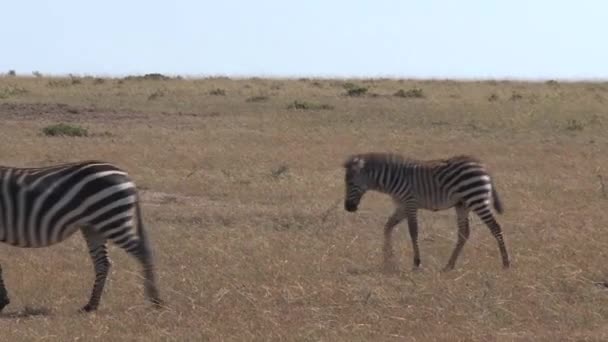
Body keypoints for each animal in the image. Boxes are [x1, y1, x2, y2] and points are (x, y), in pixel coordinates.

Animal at [0, 160, 163, 312]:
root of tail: (126, 175)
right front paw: (3, 301)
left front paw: (3, 301)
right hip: (94, 227)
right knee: (103, 262)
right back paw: (91, 305)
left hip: (112, 220)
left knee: (143, 252)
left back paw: (155, 299)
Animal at [342, 152, 508, 272]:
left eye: (350, 183)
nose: (348, 208)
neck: (394, 179)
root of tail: (482, 166)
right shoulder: (402, 206)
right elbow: (388, 227)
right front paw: (388, 260)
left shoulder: (410, 203)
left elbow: (413, 232)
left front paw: (416, 262)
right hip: (462, 205)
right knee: (464, 233)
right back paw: (449, 265)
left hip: (476, 199)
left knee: (495, 227)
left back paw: (506, 263)